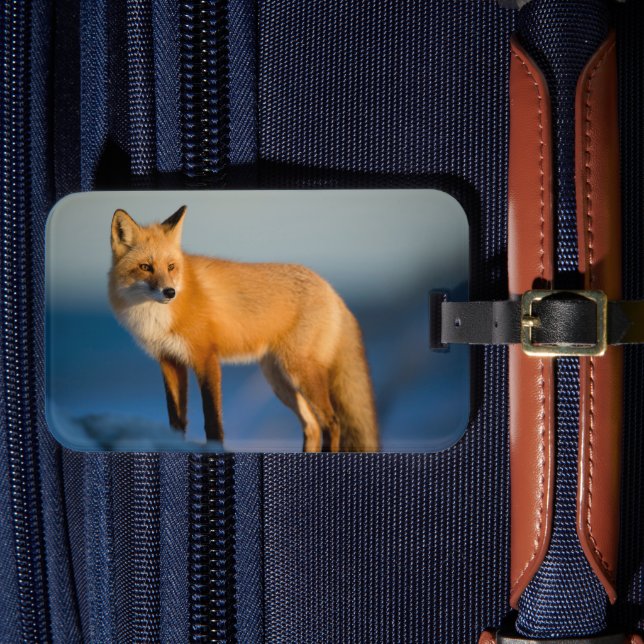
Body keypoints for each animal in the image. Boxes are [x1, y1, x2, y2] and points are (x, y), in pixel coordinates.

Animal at [108, 205, 379, 452]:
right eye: (145, 267)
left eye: (171, 267)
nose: (170, 292)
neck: (156, 317)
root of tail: (331, 289)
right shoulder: (169, 361)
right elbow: (176, 420)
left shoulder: (206, 357)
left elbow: (213, 421)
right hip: (279, 380)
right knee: (312, 426)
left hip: (300, 372)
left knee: (332, 423)